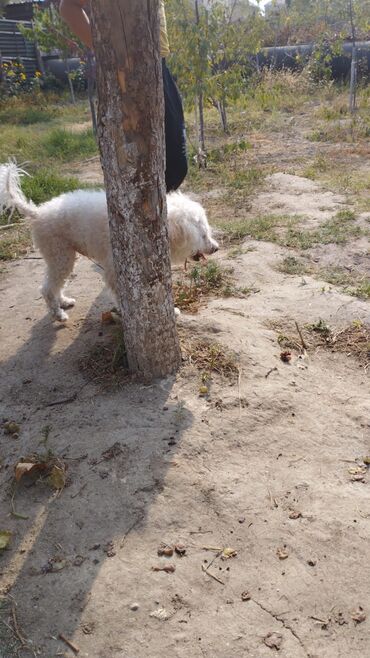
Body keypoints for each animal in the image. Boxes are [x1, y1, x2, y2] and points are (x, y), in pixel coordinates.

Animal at [0, 161, 218, 320]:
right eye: (203, 235)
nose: (215, 248)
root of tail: (38, 212)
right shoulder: (116, 270)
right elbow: (124, 295)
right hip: (60, 256)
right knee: (47, 288)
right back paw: (58, 313)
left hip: (62, 257)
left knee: (55, 285)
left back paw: (63, 301)